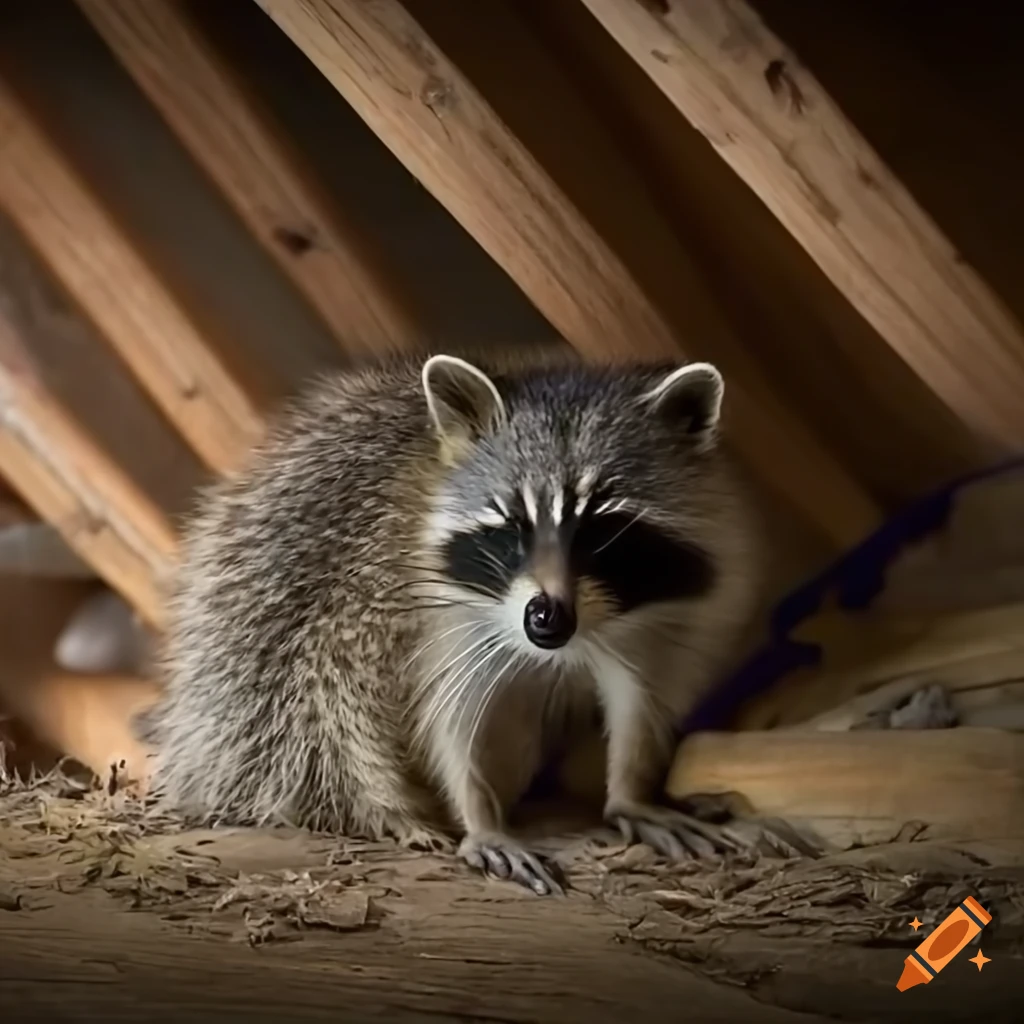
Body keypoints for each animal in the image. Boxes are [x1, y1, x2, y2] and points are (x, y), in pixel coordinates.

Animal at [144, 347, 763, 895]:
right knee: (315, 710)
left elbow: (640, 698)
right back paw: (389, 810)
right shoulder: (433, 613)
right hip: (274, 616)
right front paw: (477, 813)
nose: (546, 618)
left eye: (600, 533)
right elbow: (448, 716)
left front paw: (633, 788)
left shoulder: (658, 616)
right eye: (510, 529)